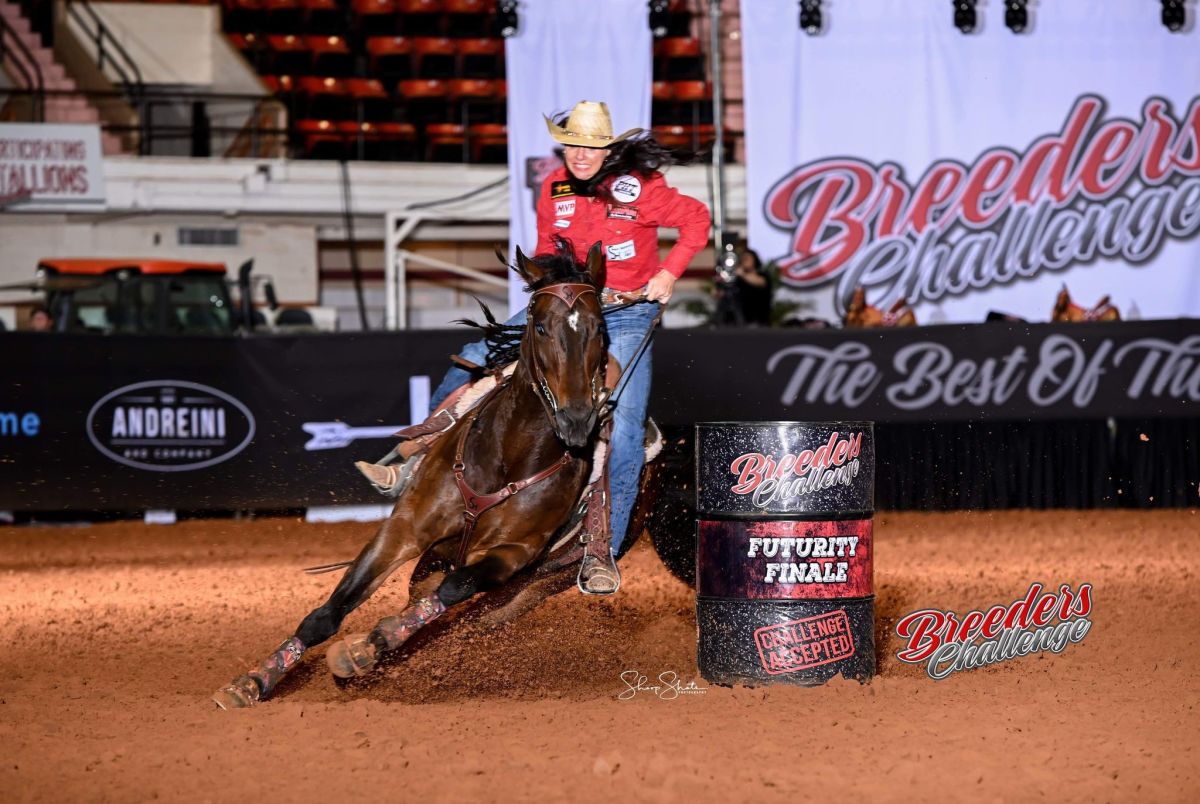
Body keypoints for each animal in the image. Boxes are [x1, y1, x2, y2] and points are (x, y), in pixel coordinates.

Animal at [211, 241, 614, 710]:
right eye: (542, 326)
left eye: (600, 328)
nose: (576, 419)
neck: (507, 458)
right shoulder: (407, 528)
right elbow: (326, 614)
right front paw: (250, 682)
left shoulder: (511, 556)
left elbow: (454, 591)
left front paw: (370, 645)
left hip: (540, 580)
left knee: (462, 619)